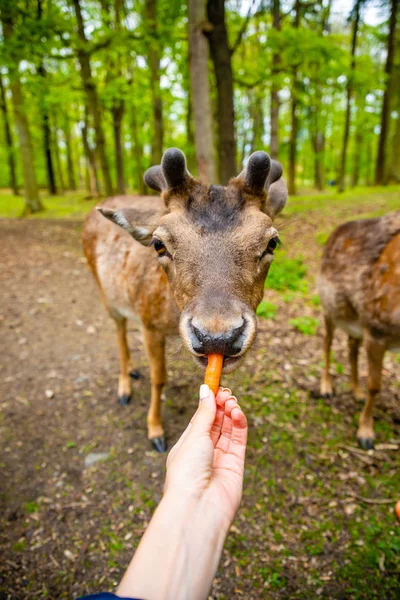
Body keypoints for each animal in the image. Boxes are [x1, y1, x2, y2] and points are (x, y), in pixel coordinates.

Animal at [82, 149, 288, 450]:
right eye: (159, 244)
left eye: (272, 242)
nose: (217, 337)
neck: (170, 315)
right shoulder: (148, 322)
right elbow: (159, 378)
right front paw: (155, 431)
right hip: (103, 290)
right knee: (118, 331)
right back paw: (124, 387)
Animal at [318, 211, 400, 450]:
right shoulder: (376, 329)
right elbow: (375, 385)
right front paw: (365, 434)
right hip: (328, 307)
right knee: (327, 342)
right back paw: (326, 387)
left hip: (355, 320)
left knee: (351, 345)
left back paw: (356, 391)